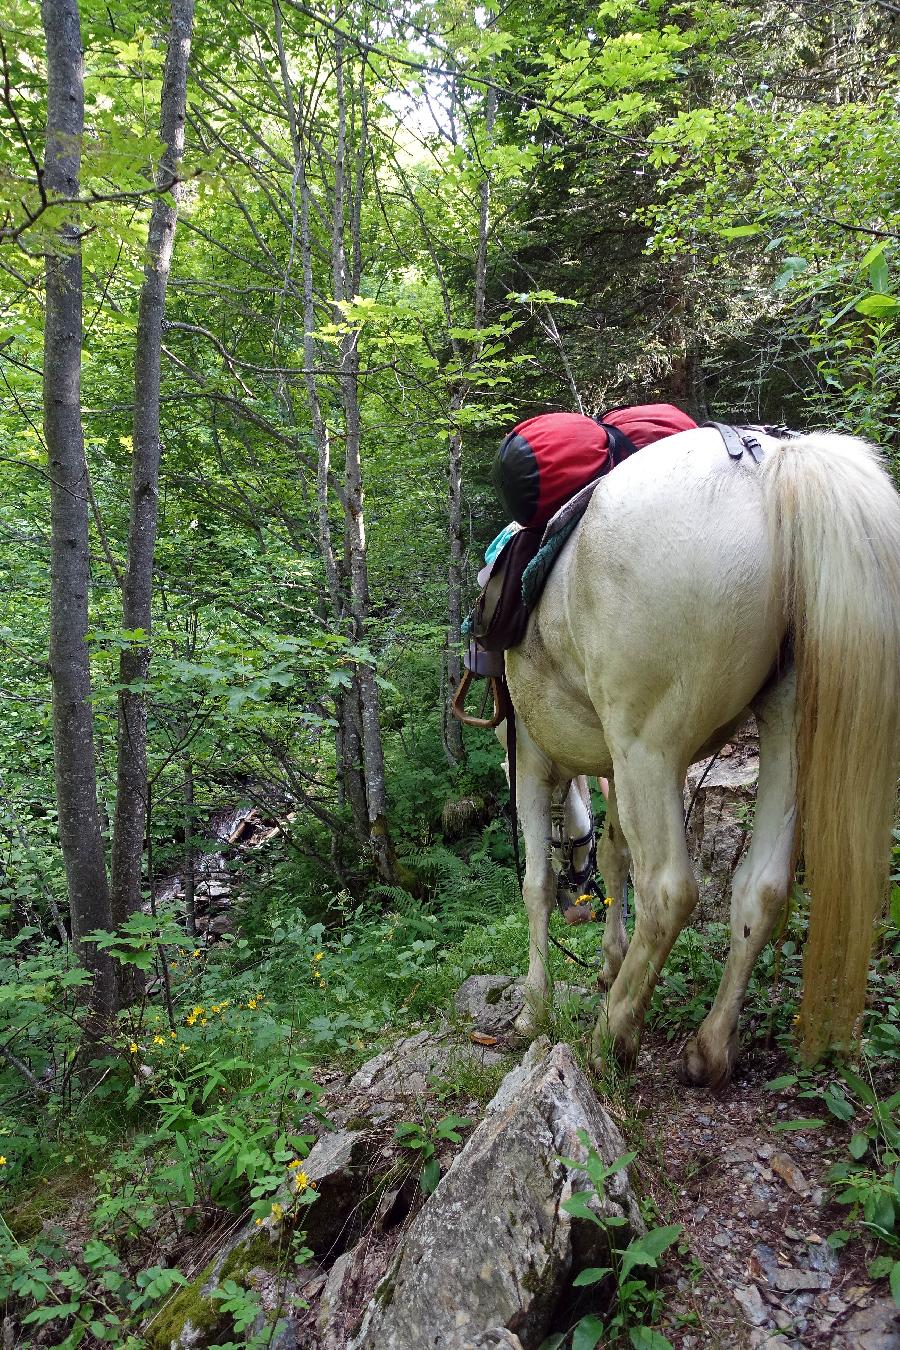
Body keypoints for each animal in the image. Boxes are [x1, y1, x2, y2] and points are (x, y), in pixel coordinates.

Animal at [507, 426, 900, 1080]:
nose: (576, 908)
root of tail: (771, 466)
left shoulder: (535, 761)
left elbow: (536, 883)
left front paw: (534, 1009)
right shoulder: (611, 766)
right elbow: (613, 855)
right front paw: (608, 961)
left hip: (649, 748)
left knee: (668, 891)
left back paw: (611, 1036)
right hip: (787, 721)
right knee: (761, 888)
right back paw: (710, 1046)